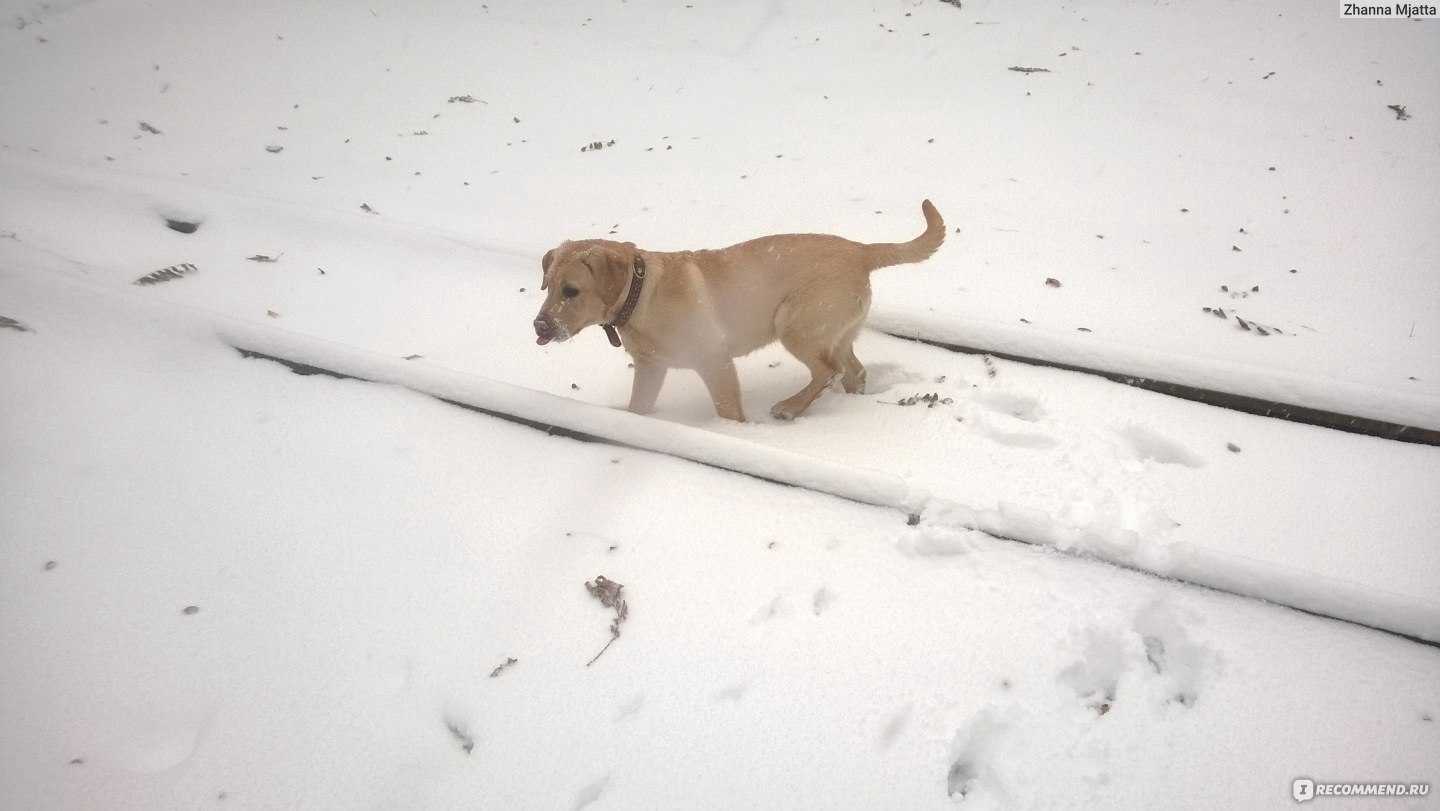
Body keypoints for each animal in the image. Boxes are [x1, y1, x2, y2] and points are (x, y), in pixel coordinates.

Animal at [532, 200, 944, 423]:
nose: (539, 325)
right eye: (548, 284)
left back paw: (790, 408)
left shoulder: (714, 360)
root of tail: (861, 250)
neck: (640, 290)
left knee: (828, 371)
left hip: (794, 324)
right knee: (852, 371)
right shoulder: (651, 368)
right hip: (836, 331)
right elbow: (638, 408)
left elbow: (728, 409)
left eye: (572, 291)